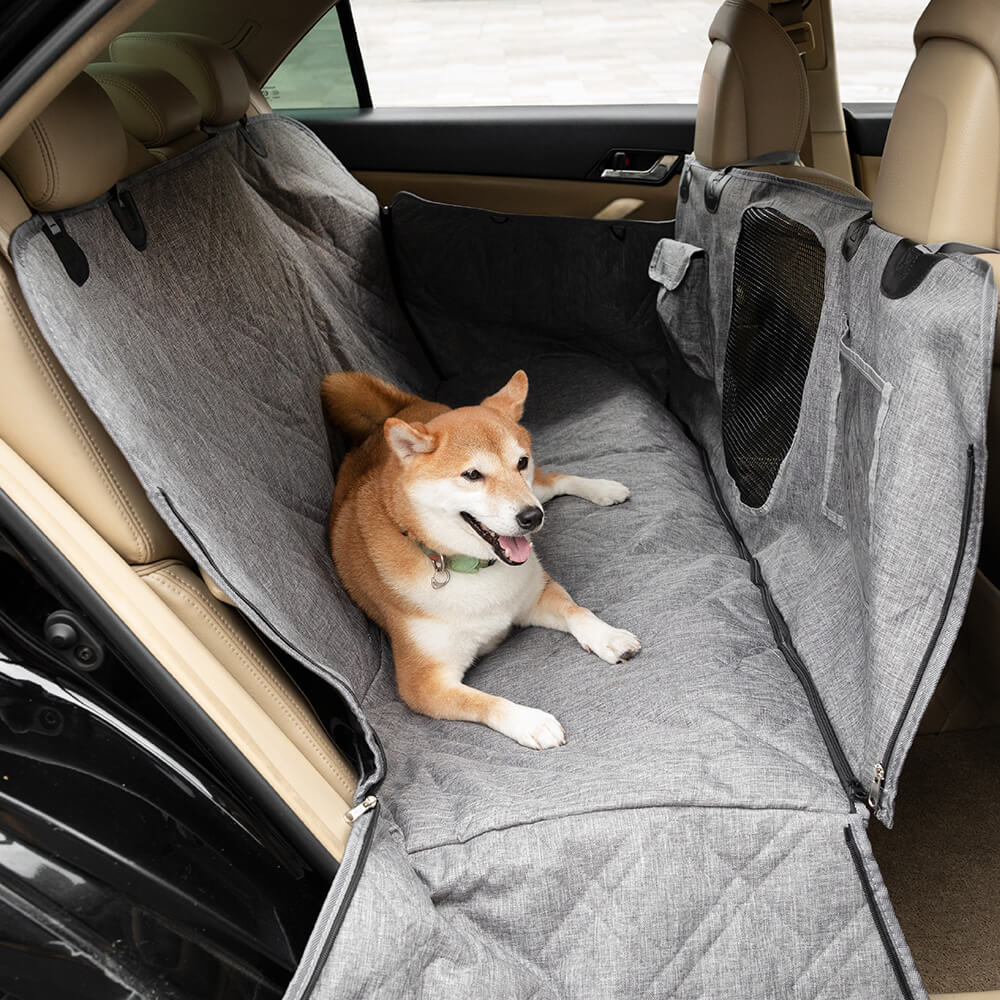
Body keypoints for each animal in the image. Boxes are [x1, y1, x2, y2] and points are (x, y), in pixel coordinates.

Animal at [324, 372, 644, 748]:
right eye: (472, 475)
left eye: (520, 462)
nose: (531, 517)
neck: (471, 567)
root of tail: (405, 408)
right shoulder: (424, 684)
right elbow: (483, 702)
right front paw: (531, 722)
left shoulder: (534, 595)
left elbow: (577, 611)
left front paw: (608, 637)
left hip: (537, 490)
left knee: (553, 481)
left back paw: (604, 489)